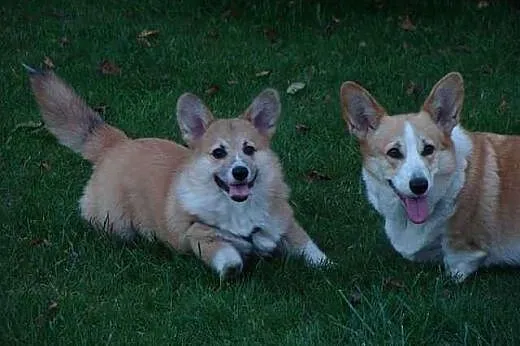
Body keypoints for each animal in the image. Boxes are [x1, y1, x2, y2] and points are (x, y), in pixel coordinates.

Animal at [26, 67, 328, 278]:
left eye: (249, 149)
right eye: (218, 153)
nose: (240, 172)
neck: (237, 208)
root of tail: (118, 142)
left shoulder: (284, 222)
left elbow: (309, 247)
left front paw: (327, 264)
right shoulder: (198, 235)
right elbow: (226, 254)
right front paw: (234, 265)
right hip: (114, 222)